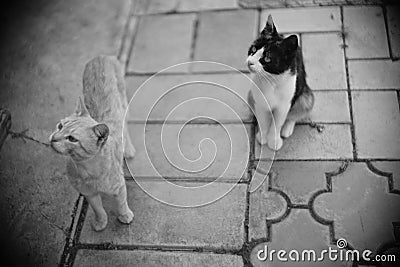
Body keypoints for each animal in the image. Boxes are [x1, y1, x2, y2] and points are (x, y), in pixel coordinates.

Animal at [48, 55, 135, 231]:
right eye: (60, 126)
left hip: (124, 104)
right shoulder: (88, 193)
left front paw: (124, 215)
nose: (53, 138)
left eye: (72, 139)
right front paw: (101, 222)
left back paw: (128, 149)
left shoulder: (119, 186)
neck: (87, 170)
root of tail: (102, 56)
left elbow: (121, 203)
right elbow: (98, 209)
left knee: (126, 126)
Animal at [247, 15, 316, 152]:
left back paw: (287, 128)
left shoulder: (283, 106)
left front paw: (274, 141)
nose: (250, 62)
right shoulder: (260, 103)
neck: (270, 80)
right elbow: (263, 120)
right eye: (253, 48)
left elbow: (278, 123)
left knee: (300, 108)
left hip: (305, 94)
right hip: (251, 94)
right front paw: (262, 136)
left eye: (267, 58)